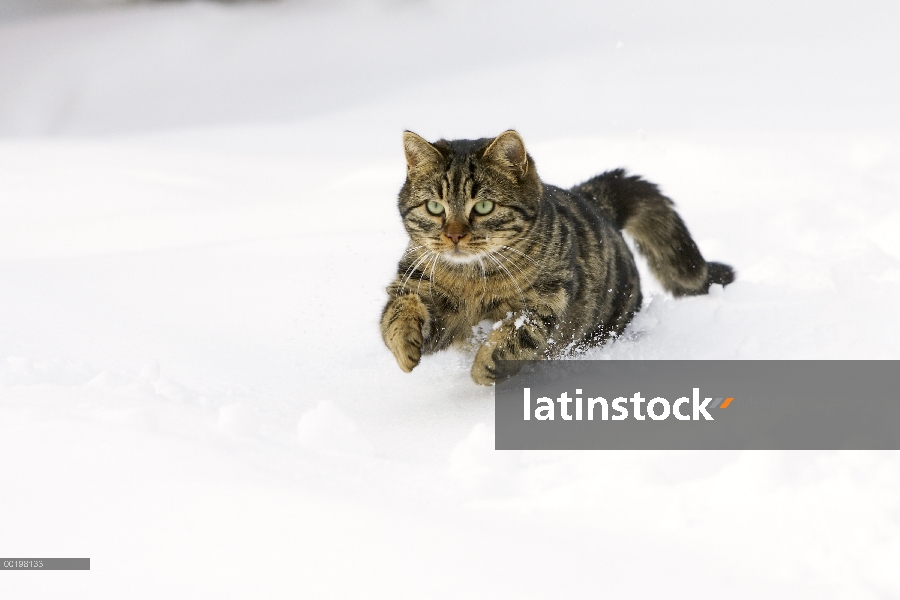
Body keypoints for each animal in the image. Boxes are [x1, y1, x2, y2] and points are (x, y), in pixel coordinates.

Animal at [380, 131, 732, 384]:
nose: (454, 235)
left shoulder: (548, 299)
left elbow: (516, 334)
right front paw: (404, 345)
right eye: (434, 207)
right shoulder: (419, 287)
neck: (472, 279)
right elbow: (396, 312)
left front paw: (486, 367)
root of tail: (594, 201)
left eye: (483, 207)